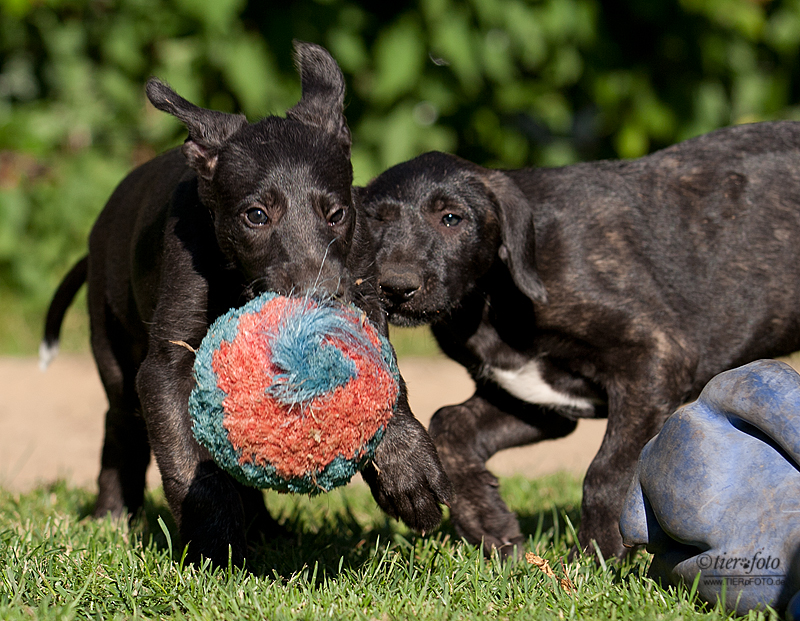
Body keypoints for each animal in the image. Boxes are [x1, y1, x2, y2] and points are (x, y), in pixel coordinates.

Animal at [42, 40, 450, 568]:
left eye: (336, 213)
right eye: (256, 216)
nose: (318, 300)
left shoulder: (362, 290)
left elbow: (389, 379)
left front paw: (407, 472)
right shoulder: (166, 362)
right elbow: (187, 458)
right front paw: (214, 539)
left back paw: (267, 529)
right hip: (113, 342)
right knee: (122, 426)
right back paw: (112, 514)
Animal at [360, 122, 800, 560]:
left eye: (451, 218)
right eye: (375, 222)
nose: (395, 286)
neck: (492, 297)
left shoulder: (655, 357)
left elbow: (607, 471)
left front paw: (595, 554)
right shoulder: (537, 401)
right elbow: (448, 424)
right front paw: (487, 524)